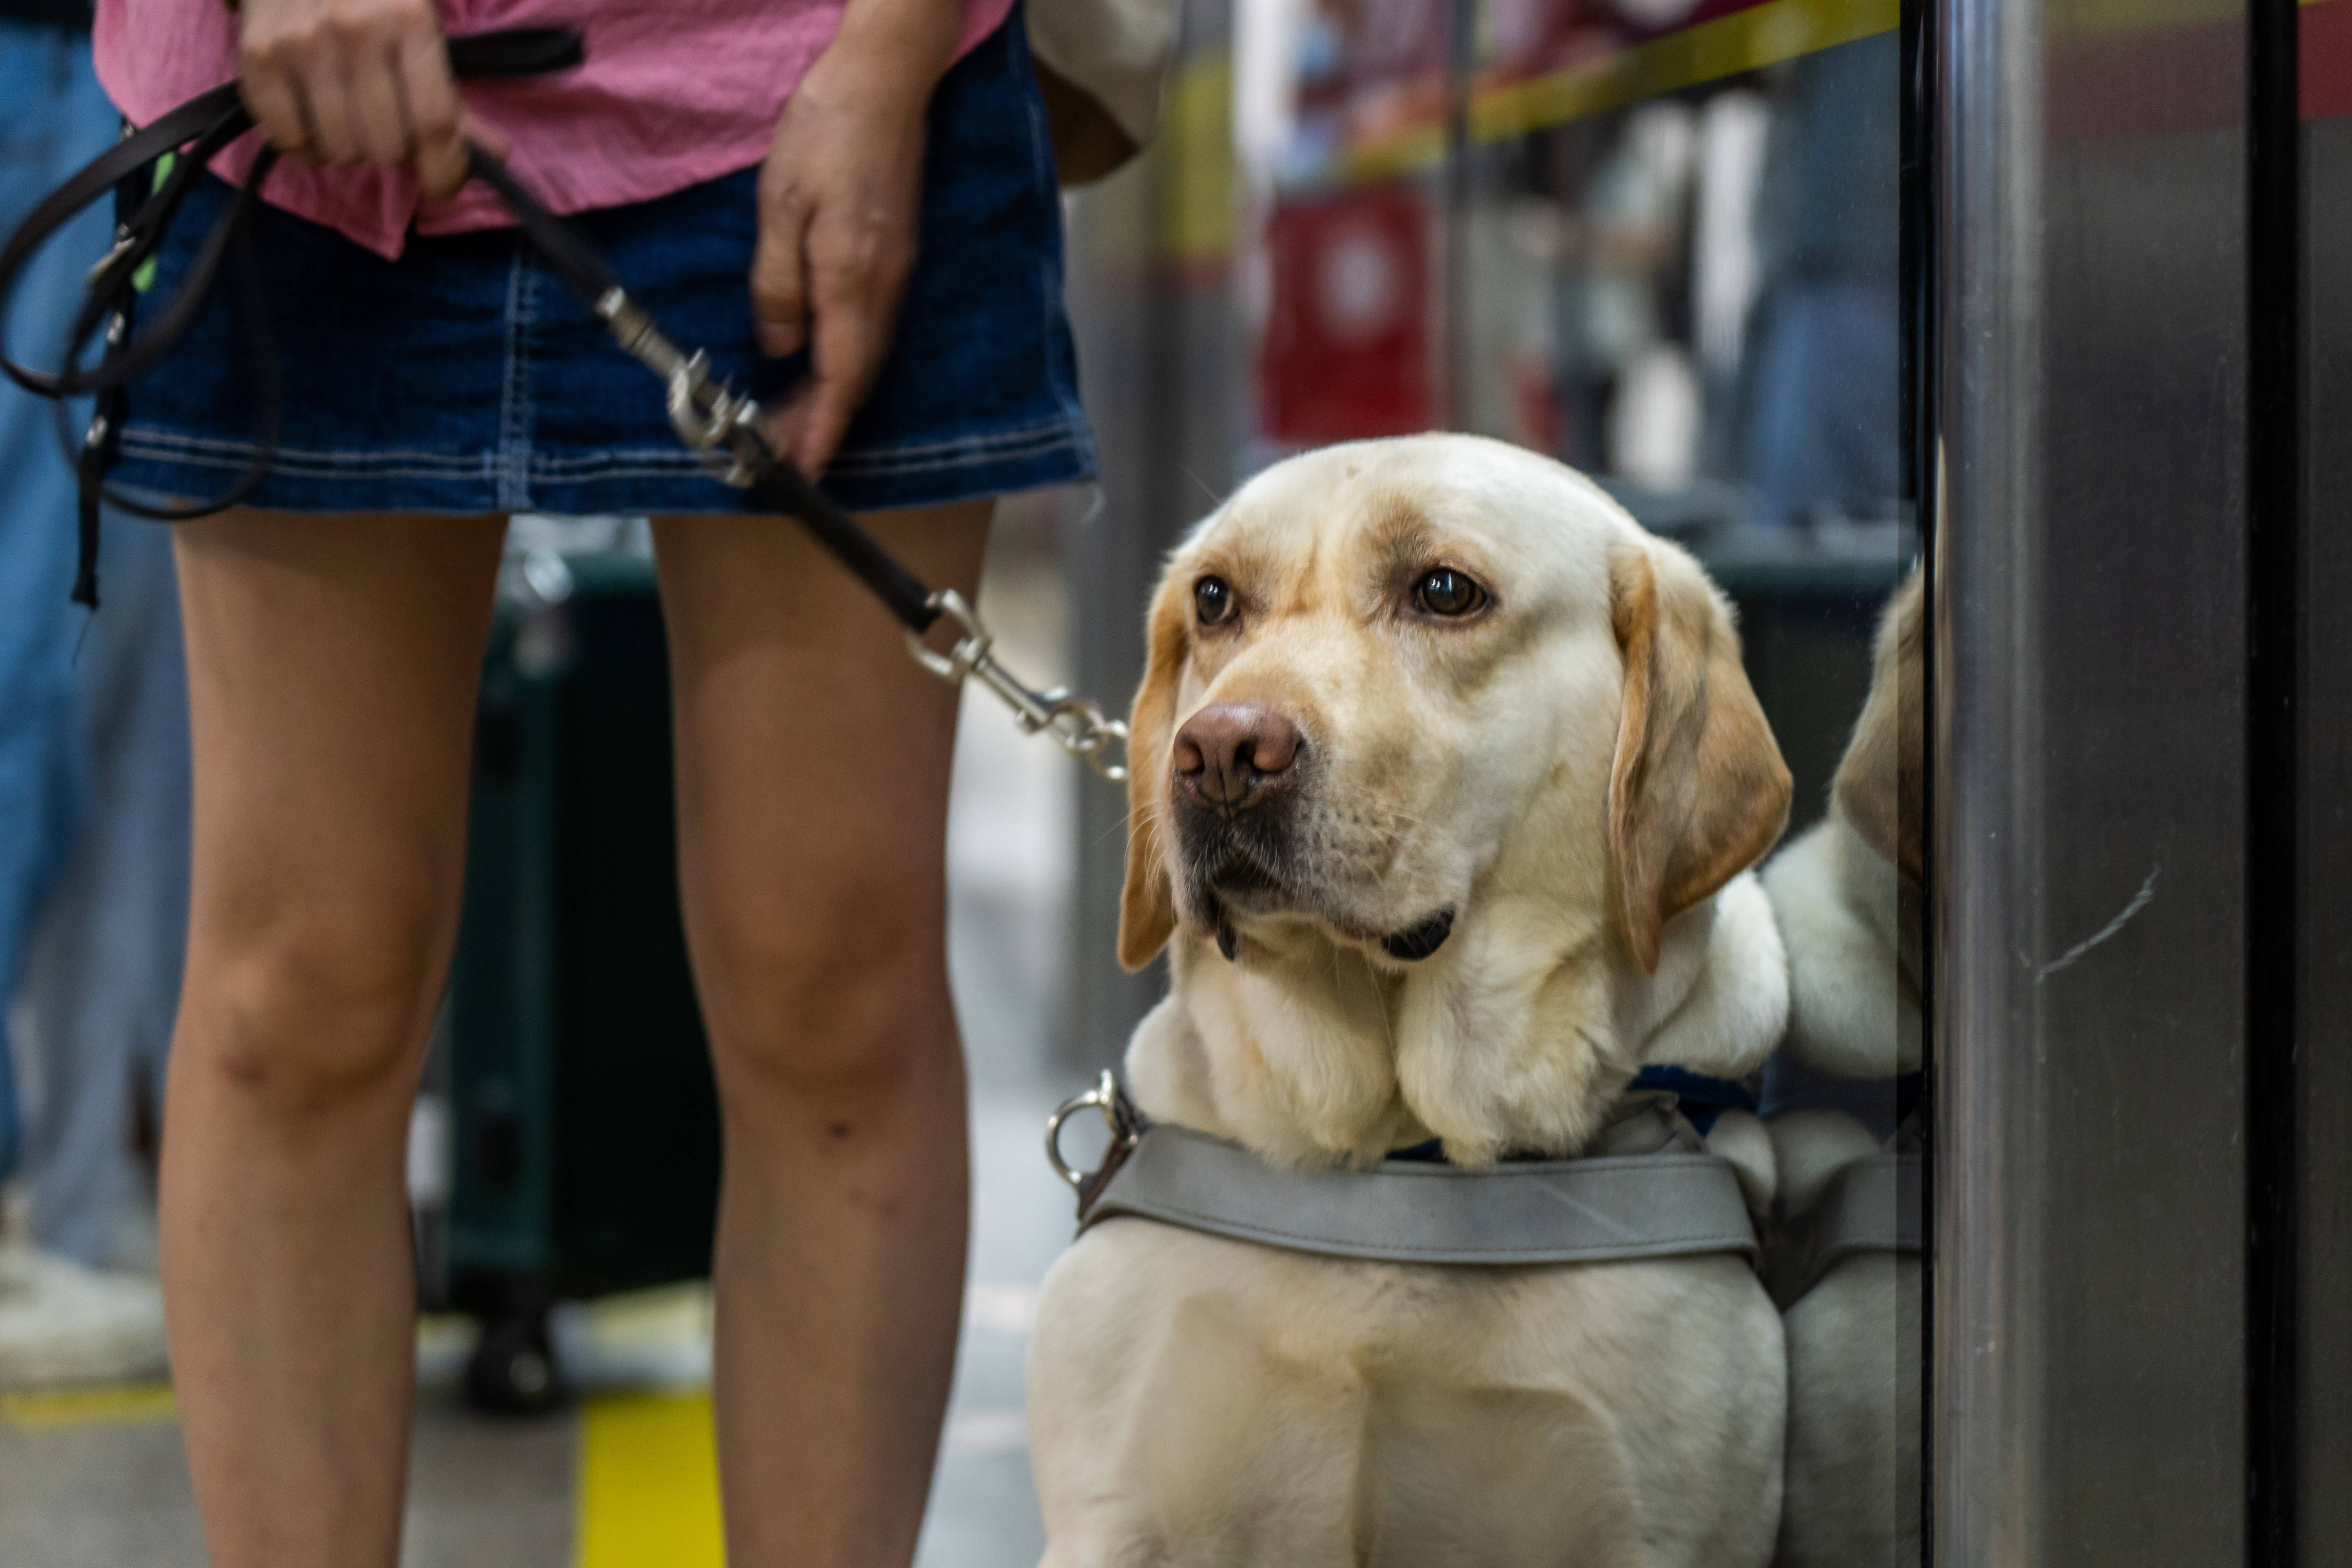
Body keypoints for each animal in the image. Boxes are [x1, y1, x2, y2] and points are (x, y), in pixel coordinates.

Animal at [1030, 435, 1797, 1561]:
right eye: (1214, 600)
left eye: (1444, 591)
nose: (1218, 754)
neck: (1399, 1151)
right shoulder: (1114, 1517)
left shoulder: (1661, 1526)